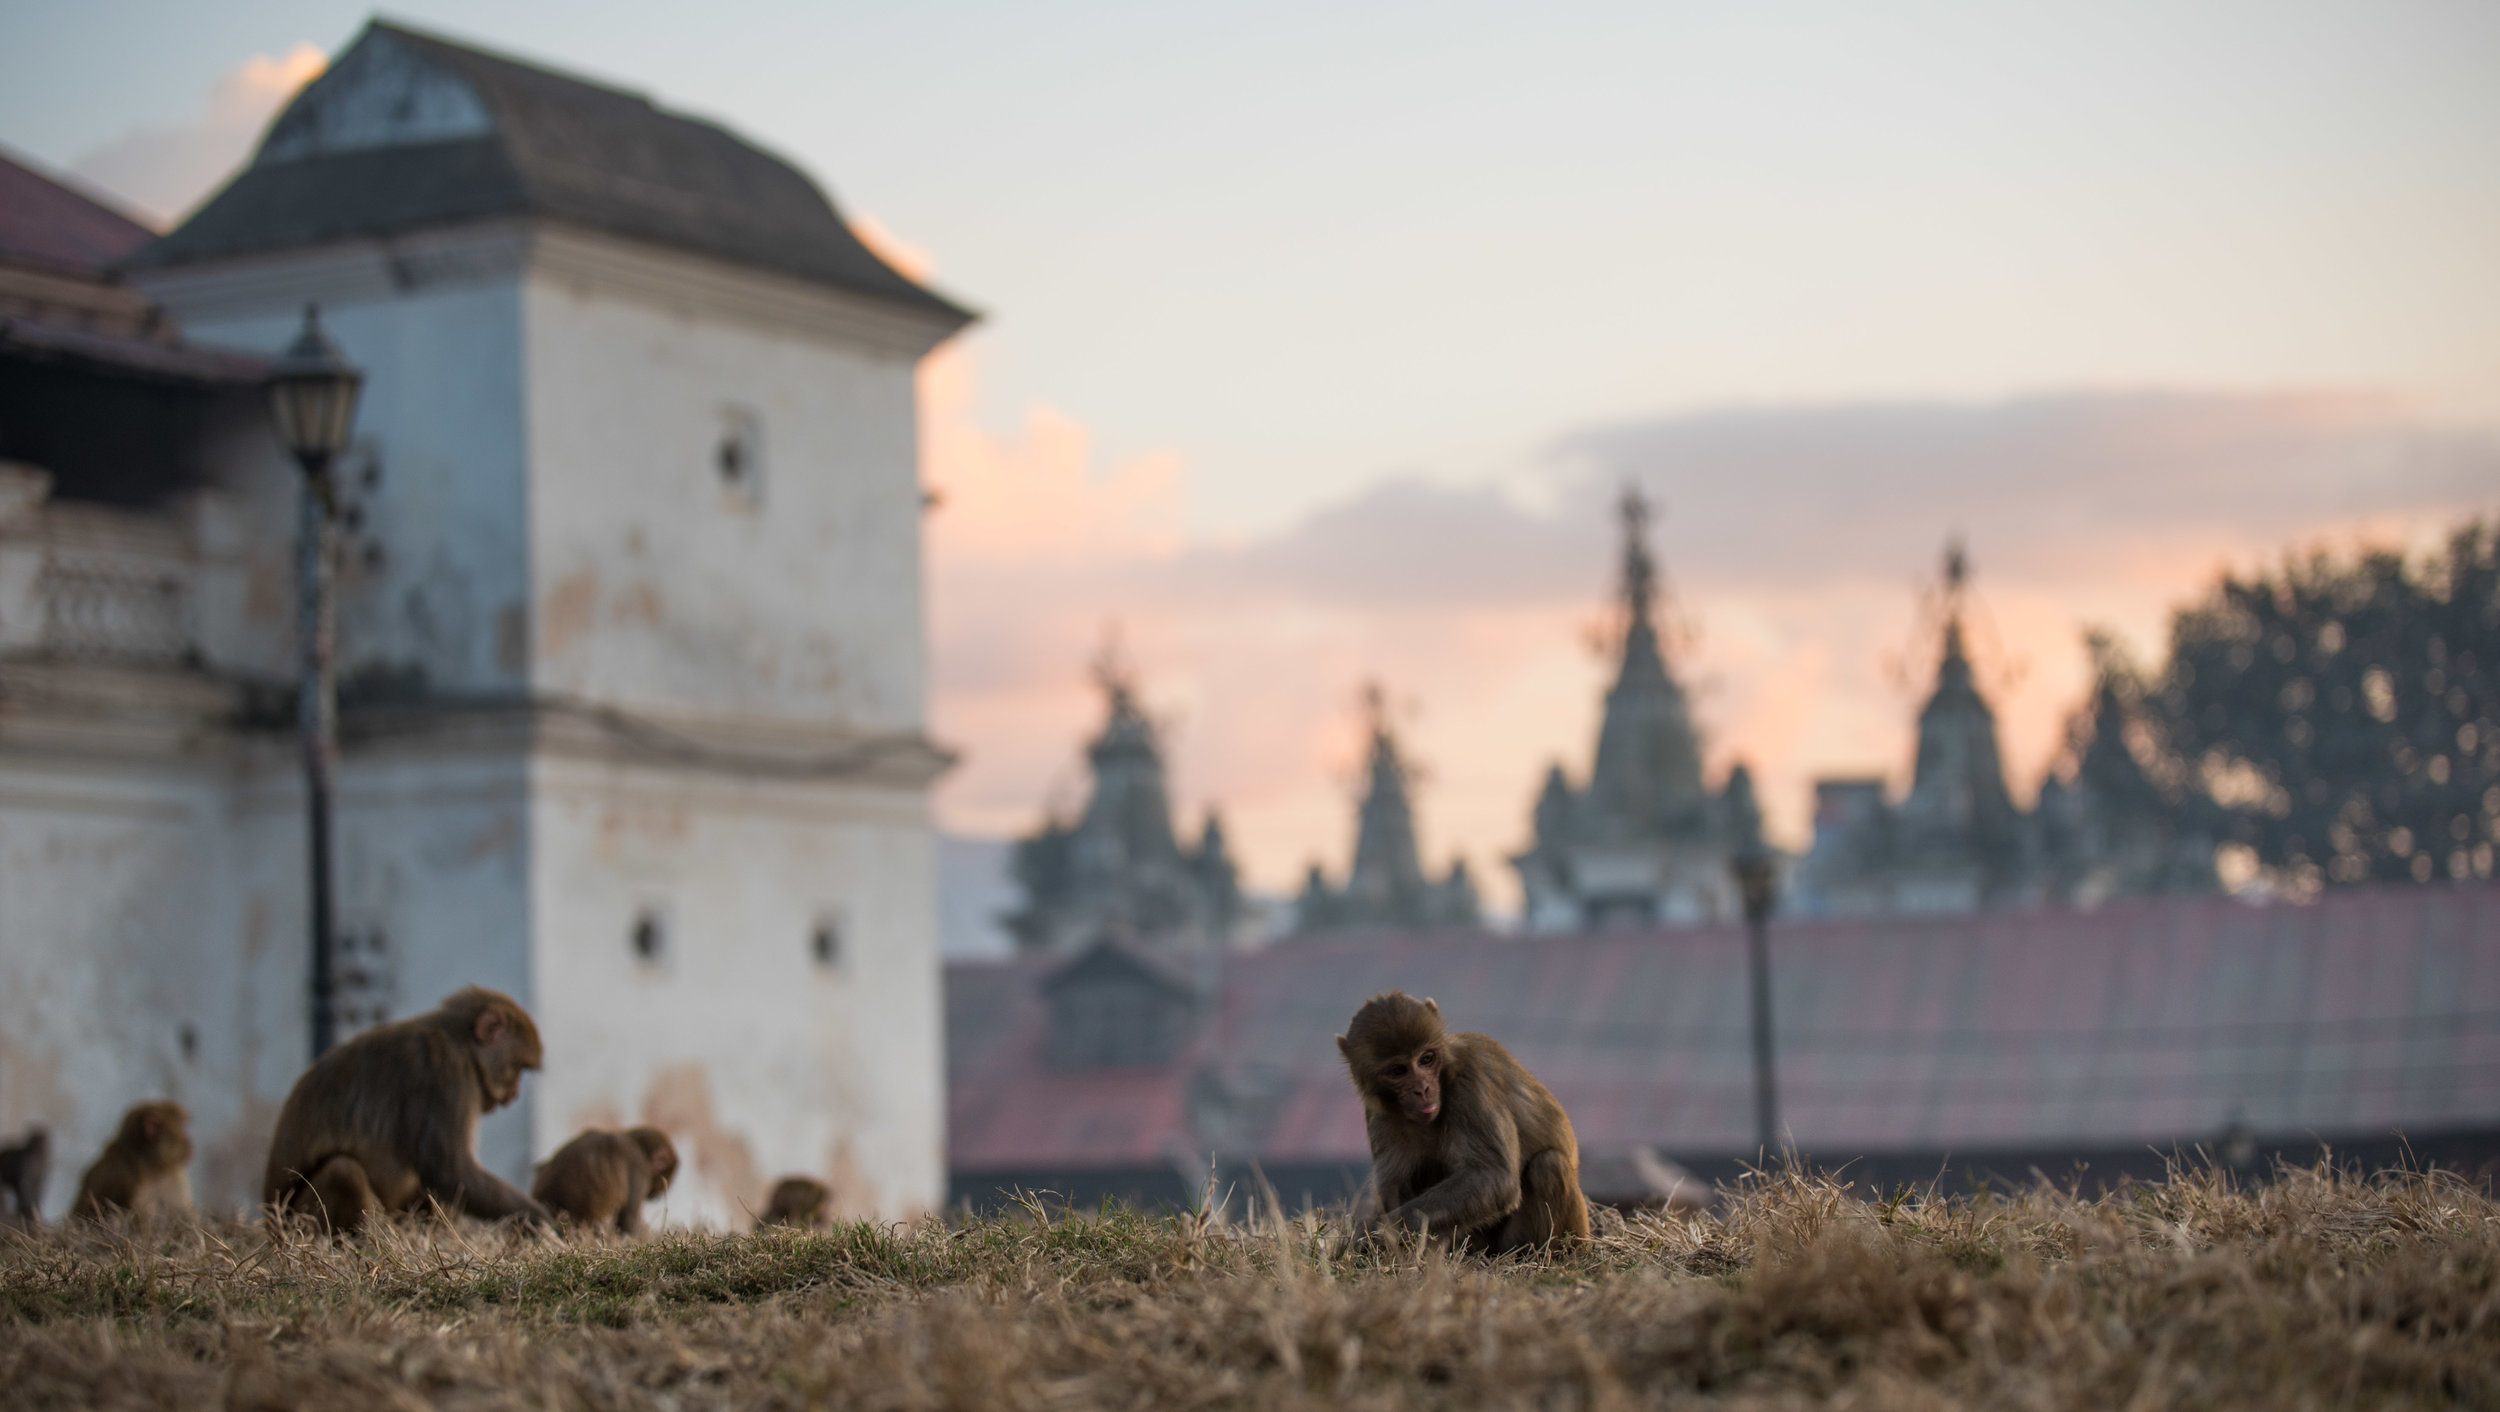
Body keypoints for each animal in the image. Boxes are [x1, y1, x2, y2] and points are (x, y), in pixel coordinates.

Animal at [261, 984, 550, 1229]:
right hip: (296, 1218)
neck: (458, 1039)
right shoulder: (445, 1072)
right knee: (343, 1171)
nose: (515, 1093)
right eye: (519, 1067)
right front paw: (546, 1225)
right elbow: (451, 1171)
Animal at [1340, 984, 1590, 1249]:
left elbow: (1492, 1178)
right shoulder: (1377, 1110)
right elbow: (1392, 1188)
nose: (1422, 1089)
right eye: (1398, 1071)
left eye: (1426, 1059)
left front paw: (1376, 1233)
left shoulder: (1469, 1082)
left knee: (1548, 1165)